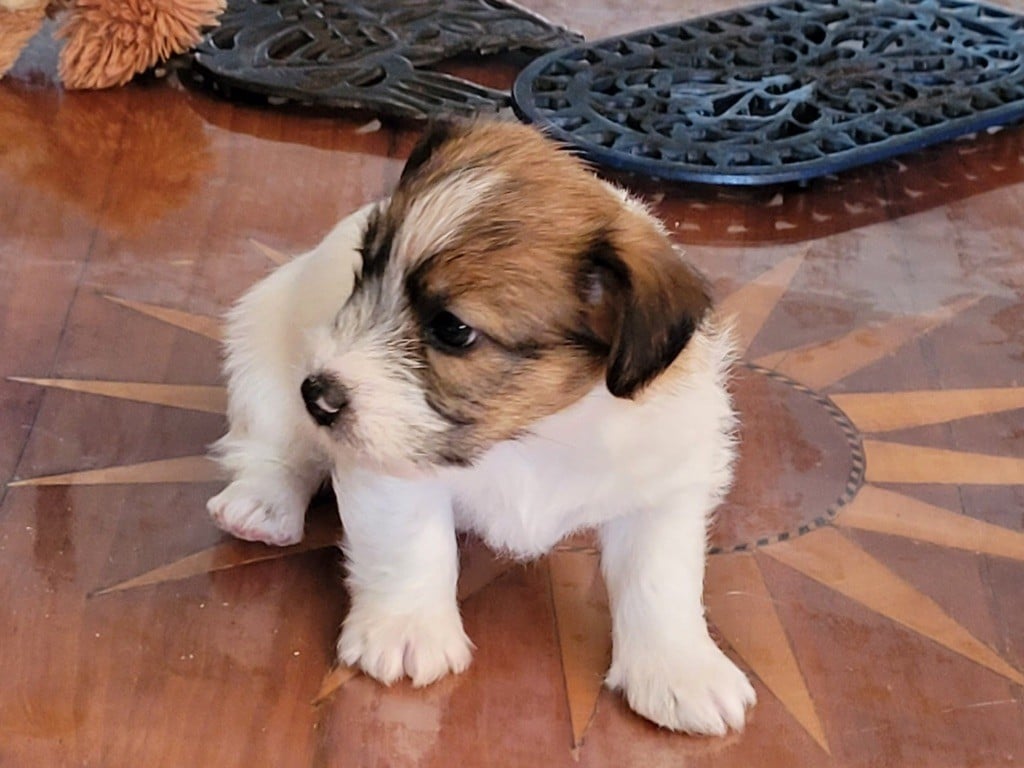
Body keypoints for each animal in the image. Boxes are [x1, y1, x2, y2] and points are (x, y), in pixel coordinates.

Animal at [207, 123, 757, 737]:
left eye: (452, 329)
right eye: (364, 273)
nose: (318, 394)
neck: (533, 433)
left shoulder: (666, 486)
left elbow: (660, 580)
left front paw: (679, 669)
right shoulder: (394, 462)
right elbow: (415, 544)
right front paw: (409, 627)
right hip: (263, 354)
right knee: (275, 449)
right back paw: (261, 506)